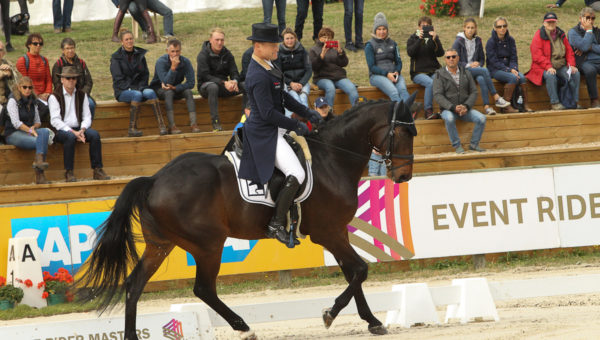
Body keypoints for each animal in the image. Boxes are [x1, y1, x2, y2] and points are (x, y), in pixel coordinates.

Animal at [77, 93, 418, 340]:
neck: (332, 158)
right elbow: (359, 269)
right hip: (208, 245)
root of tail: (154, 180)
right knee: (203, 288)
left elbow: (352, 273)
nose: (404, 176)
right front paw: (330, 314)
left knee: (134, 285)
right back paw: (243, 327)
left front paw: (372, 321)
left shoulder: (337, 232)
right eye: (403, 131)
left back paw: (133, 335)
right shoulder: (328, 231)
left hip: (160, 245)